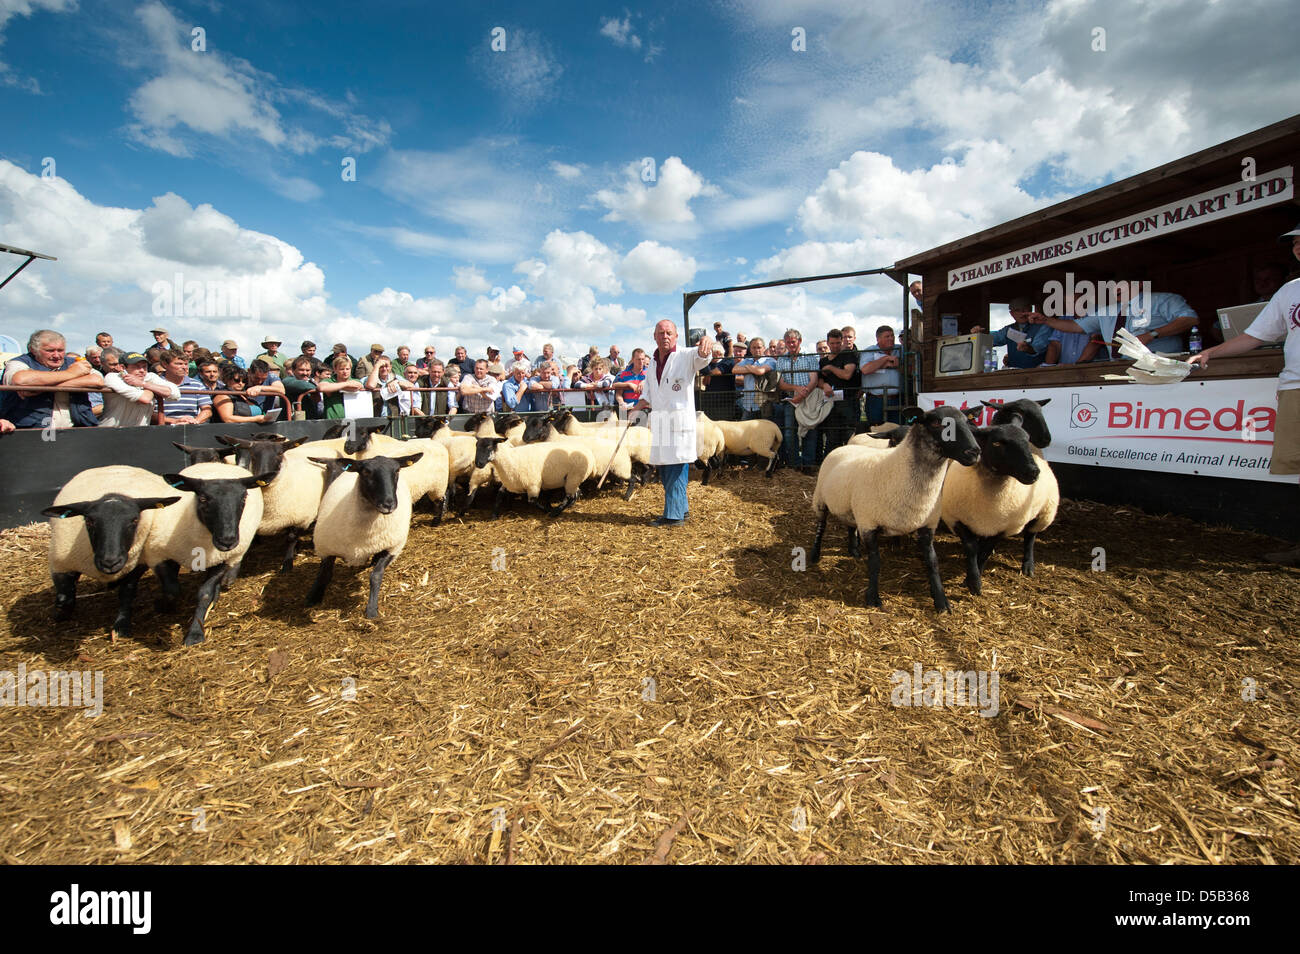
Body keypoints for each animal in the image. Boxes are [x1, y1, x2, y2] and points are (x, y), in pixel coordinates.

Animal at [42, 465, 182, 639]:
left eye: (135, 520)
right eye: (89, 521)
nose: (110, 562)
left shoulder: (134, 565)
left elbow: (126, 593)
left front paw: (122, 625)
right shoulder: (60, 563)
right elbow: (64, 598)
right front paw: (58, 616)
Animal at [144, 465, 271, 649]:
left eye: (244, 497)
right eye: (203, 499)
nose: (228, 540)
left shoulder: (223, 558)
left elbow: (205, 593)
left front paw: (195, 634)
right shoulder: (162, 555)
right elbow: (171, 591)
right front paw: (163, 606)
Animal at [304, 454, 421, 621]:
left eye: (397, 470)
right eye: (366, 472)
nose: (388, 504)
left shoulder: (392, 548)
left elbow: (376, 576)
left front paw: (371, 609)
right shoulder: (326, 548)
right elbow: (324, 575)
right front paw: (313, 597)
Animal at [806, 408, 977, 616]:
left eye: (967, 422)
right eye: (937, 423)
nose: (974, 452)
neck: (896, 470)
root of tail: (842, 446)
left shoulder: (927, 524)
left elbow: (932, 562)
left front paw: (941, 600)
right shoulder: (869, 523)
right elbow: (875, 562)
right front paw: (872, 597)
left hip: (850, 505)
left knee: (849, 524)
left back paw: (854, 550)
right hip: (820, 499)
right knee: (821, 526)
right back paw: (815, 554)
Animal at [941, 421, 1060, 595]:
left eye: (1026, 439)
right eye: (997, 443)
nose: (1033, 471)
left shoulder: (1003, 528)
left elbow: (985, 552)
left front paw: (973, 580)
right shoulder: (956, 519)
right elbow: (972, 548)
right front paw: (973, 580)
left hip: (1044, 513)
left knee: (1030, 537)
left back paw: (1028, 566)